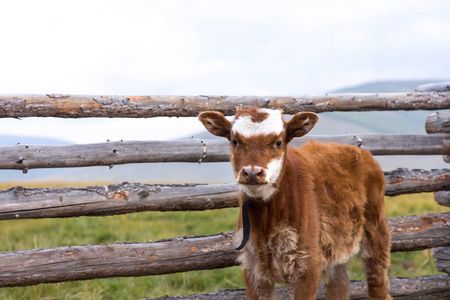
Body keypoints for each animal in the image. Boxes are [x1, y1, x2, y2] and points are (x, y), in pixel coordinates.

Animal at [199, 108, 392, 300]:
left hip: (376, 231)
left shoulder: (308, 264)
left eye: (278, 142)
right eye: (234, 141)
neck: (267, 220)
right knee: (339, 285)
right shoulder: (253, 269)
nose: (252, 172)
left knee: (377, 281)